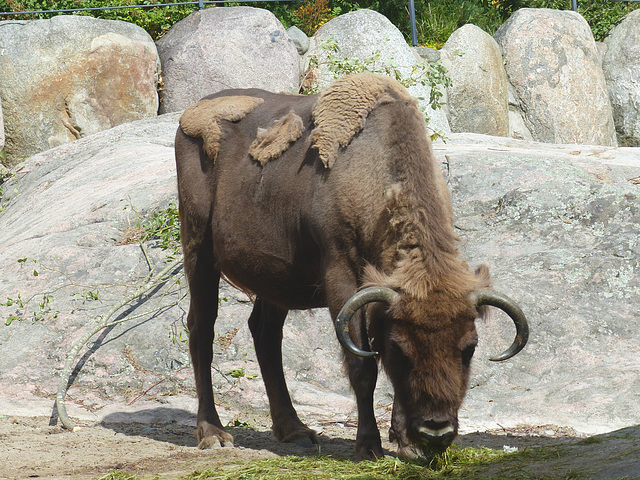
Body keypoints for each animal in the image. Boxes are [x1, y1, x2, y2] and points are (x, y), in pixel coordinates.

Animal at [172, 72, 528, 462]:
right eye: (403, 349)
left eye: (470, 348)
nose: (435, 431)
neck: (372, 172)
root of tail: (189, 114)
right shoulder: (342, 278)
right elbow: (364, 365)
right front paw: (369, 446)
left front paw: (405, 444)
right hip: (198, 250)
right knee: (201, 331)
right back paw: (213, 433)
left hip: (273, 281)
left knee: (265, 334)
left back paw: (295, 431)